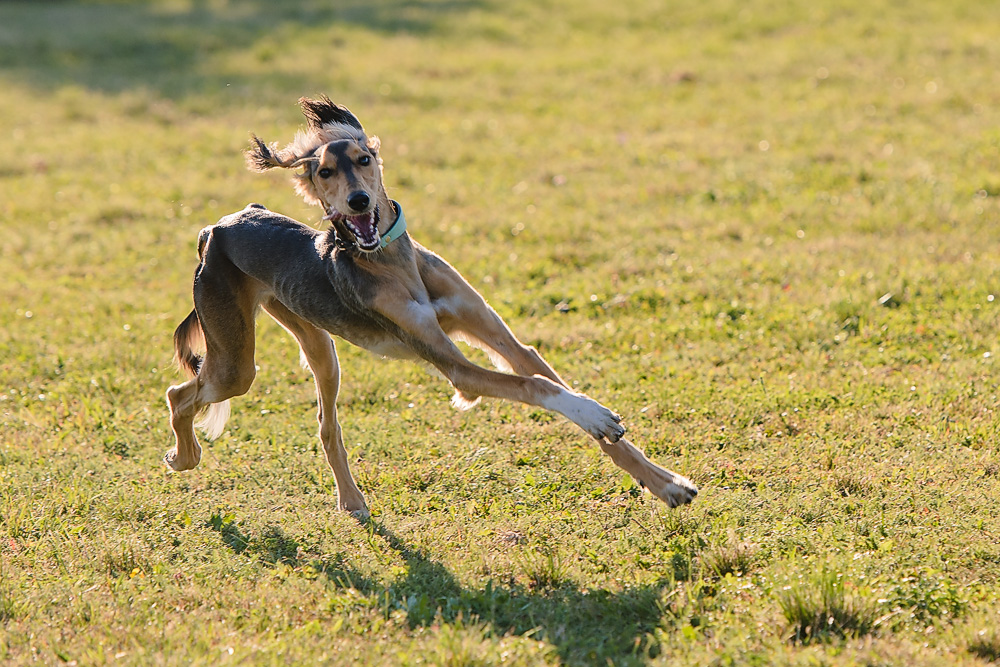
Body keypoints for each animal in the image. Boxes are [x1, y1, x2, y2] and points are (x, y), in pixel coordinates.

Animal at [164, 96, 700, 516]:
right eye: (325, 171)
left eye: (364, 158)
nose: (358, 203)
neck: (390, 261)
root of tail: (218, 227)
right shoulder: (455, 367)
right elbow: (536, 386)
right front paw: (595, 415)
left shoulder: (503, 340)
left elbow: (550, 383)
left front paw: (665, 483)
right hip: (237, 361)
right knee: (180, 393)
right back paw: (183, 457)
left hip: (318, 346)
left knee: (326, 426)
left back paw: (351, 502)